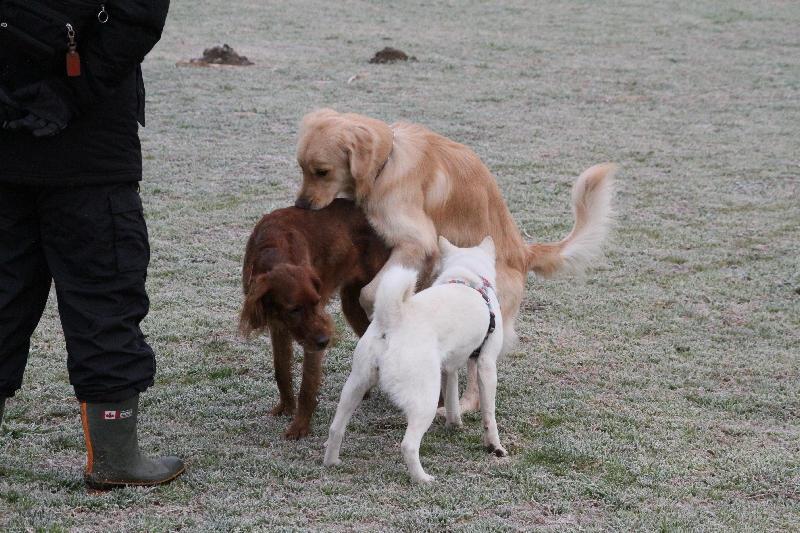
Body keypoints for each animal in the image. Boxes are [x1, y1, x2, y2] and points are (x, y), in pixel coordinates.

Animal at [239, 199, 391, 439]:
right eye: (293, 310)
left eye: (316, 302)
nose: (325, 341)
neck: (272, 246)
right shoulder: (278, 326)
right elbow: (281, 369)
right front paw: (286, 407)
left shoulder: (314, 337)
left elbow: (308, 385)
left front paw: (300, 425)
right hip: (352, 304)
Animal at [295, 109, 614, 412]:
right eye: (301, 169)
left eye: (322, 172)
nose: (300, 206)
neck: (387, 161)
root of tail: (524, 255)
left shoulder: (417, 241)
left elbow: (369, 293)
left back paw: (464, 404)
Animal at [324, 236, 504, 483]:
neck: (467, 276)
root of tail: (393, 319)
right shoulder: (486, 364)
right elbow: (489, 415)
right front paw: (495, 447)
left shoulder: (448, 368)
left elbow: (452, 401)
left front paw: (454, 424)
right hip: (425, 400)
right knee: (408, 445)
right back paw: (422, 479)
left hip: (355, 386)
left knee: (336, 428)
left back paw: (332, 461)